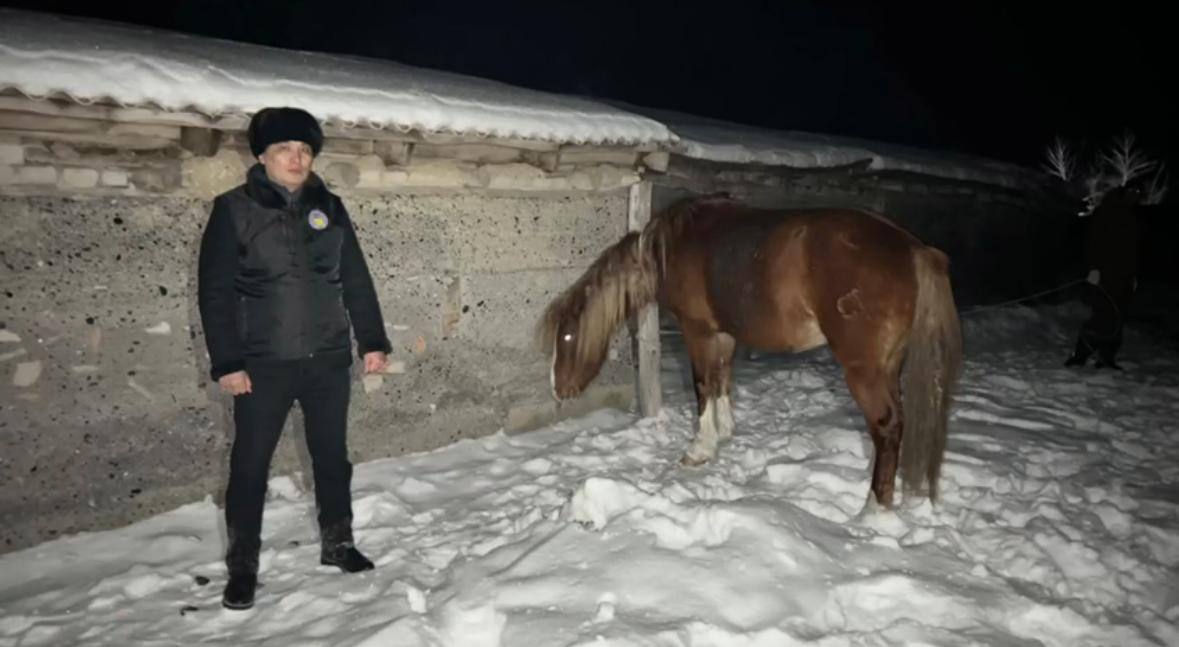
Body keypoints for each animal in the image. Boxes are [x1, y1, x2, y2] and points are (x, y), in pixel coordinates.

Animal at [539, 194, 962, 506]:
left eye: (567, 339)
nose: (557, 391)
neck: (668, 248)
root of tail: (916, 250)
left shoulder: (698, 331)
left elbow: (702, 386)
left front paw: (700, 449)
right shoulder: (724, 334)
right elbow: (722, 380)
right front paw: (726, 431)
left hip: (865, 370)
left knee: (887, 426)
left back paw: (873, 508)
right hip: (889, 366)